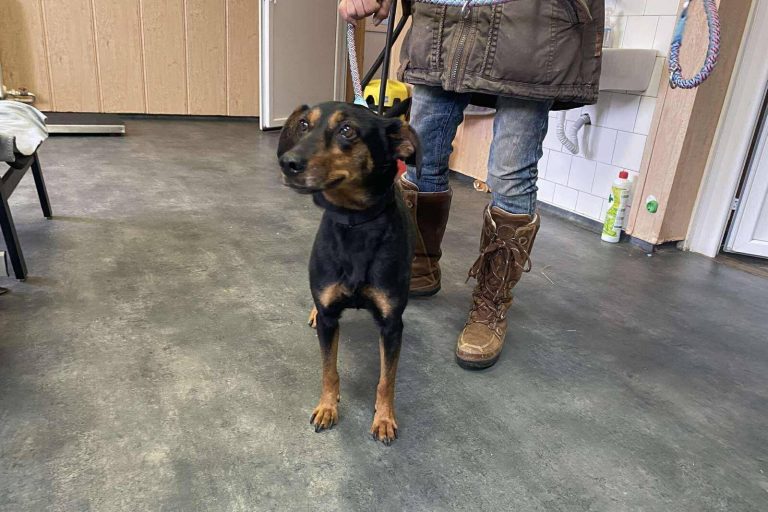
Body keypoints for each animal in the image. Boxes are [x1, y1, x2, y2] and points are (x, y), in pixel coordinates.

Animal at [277, 101, 420, 445]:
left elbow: (386, 379)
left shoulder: (392, 326)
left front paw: (384, 418)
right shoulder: (330, 319)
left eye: (347, 130)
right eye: (303, 125)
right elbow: (329, 369)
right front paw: (327, 407)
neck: (355, 224)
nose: (287, 163)